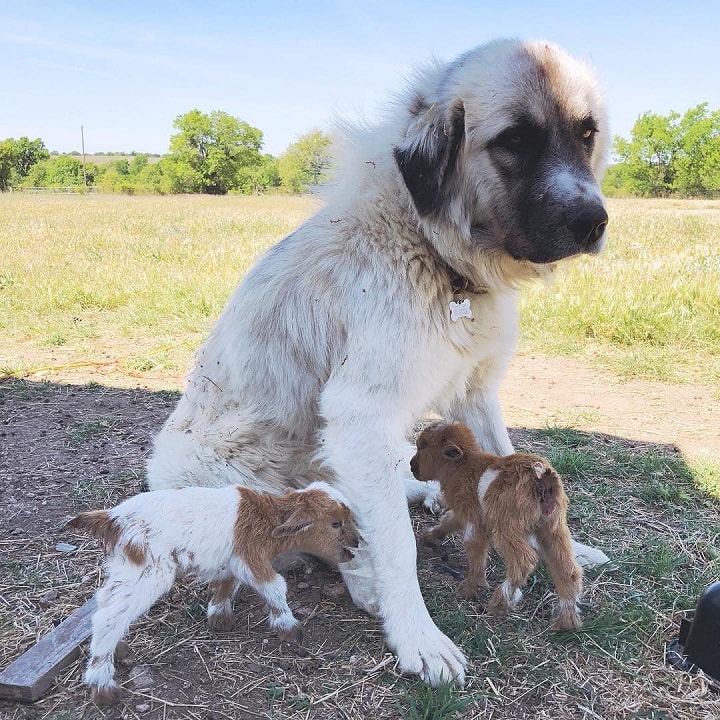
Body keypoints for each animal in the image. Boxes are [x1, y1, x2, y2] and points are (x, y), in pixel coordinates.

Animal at [149, 39, 612, 688]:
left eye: (586, 133)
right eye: (514, 140)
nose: (594, 222)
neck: (434, 254)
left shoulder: (475, 389)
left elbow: (508, 460)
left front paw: (562, 538)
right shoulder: (360, 415)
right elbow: (398, 546)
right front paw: (417, 636)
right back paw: (367, 579)